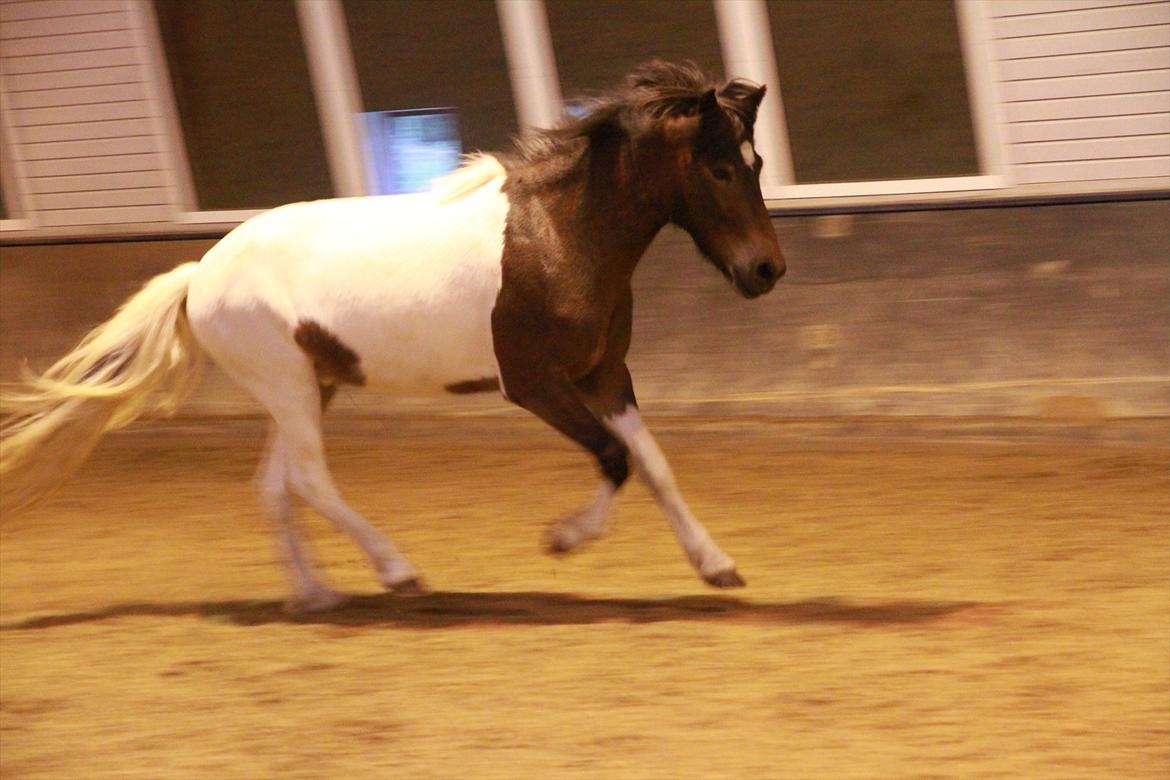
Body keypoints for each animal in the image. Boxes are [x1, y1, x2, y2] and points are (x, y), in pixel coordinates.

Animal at [4, 62, 786, 608]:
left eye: (757, 164)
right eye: (719, 167)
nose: (766, 269)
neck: (563, 237)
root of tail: (200, 275)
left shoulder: (605, 375)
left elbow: (652, 465)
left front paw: (717, 566)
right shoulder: (534, 383)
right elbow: (614, 459)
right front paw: (563, 538)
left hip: (307, 387)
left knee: (275, 485)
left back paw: (315, 596)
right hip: (288, 386)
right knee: (309, 481)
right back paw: (398, 572)